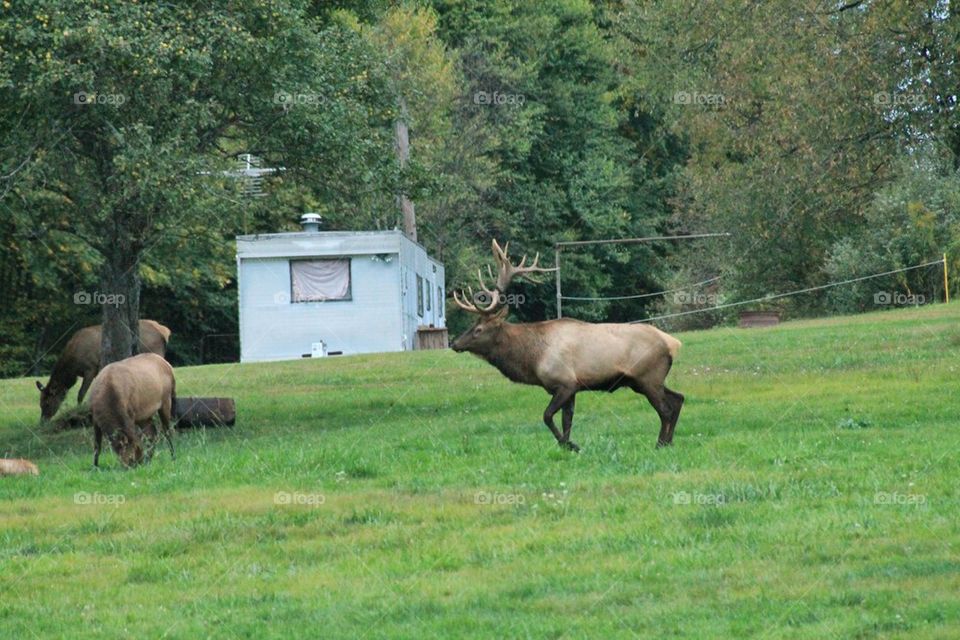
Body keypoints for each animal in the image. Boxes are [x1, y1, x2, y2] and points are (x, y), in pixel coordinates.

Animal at [36, 318, 172, 420]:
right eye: (40, 403)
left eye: (47, 403)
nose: (43, 422)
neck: (72, 367)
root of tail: (165, 332)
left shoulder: (90, 368)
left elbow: (81, 393)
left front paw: (79, 410)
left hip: (155, 352)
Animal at [452, 240, 684, 450]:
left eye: (478, 329)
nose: (454, 343)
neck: (533, 358)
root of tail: (672, 343)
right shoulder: (572, 388)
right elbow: (567, 421)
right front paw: (568, 445)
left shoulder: (565, 382)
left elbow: (547, 416)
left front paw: (570, 444)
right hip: (644, 381)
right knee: (678, 399)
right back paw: (669, 441)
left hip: (648, 377)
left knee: (665, 410)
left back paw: (660, 444)